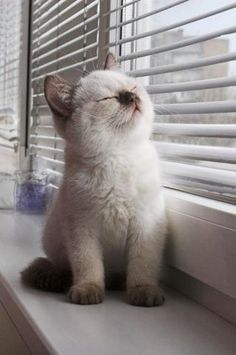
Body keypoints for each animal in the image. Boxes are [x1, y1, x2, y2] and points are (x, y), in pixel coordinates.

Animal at [21, 54, 167, 308]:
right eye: (109, 99)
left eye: (131, 88)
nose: (131, 97)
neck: (119, 156)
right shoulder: (82, 229)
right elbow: (89, 267)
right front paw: (88, 292)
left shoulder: (146, 224)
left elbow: (143, 268)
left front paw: (143, 293)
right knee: (66, 271)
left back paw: (119, 282)